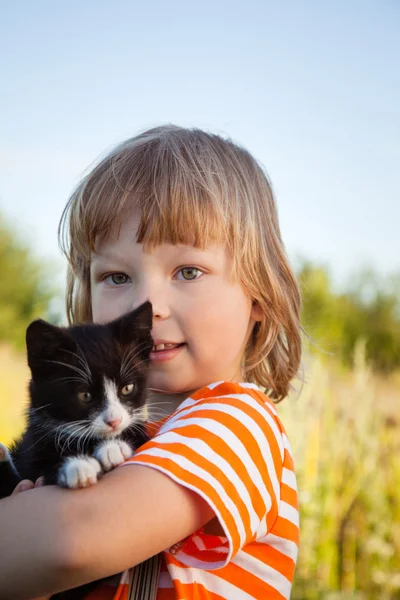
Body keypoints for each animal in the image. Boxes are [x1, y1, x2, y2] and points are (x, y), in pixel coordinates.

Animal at [0, 302, 155, 596]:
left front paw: (115, 448)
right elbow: (42, 466)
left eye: (127, 388)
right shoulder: (32, 450)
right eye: (85, 395)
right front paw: (78, 467)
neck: (85, 439)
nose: (113, 420)